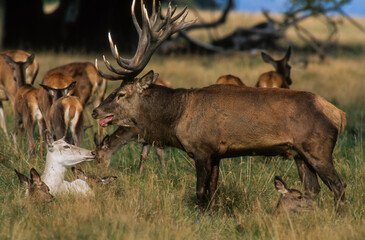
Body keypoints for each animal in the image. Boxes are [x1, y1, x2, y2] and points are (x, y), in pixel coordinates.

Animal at [91, 0, 346, 211]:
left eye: (120, 94)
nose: (95, 111)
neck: (177, 116)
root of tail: (339, 114)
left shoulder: (202, 148)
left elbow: (200, 191)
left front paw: (200, 216)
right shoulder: (216, 153)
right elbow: (213, 190)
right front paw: (212, 215)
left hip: (318, 148)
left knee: (339, 185)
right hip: (299, 154)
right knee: (313, 189)